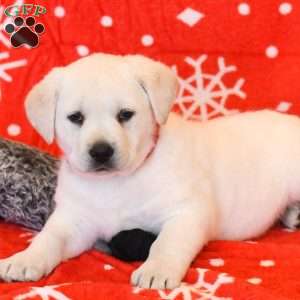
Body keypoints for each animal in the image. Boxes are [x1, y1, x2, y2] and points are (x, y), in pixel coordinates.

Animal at [0, 52, 300, 290]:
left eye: (125, 114)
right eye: (76, 118)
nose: (101, 151)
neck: (115, 184)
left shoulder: (186, 213)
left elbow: (166, 243)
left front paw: (156, 269)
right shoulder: (73, 221)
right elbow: (48, 238)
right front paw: (24, 259)